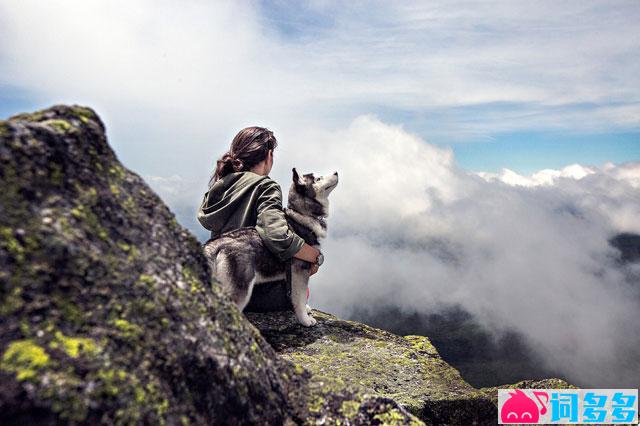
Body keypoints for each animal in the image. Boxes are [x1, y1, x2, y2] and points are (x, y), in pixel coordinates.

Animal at [204, 167, 340, 326]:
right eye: (318, 178)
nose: (336, 172)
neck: (301, 215)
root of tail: (217, 242)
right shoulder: (300, 270)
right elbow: (299, 297)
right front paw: (305, 319)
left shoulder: (291, 276)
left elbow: (297, 296)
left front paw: (306, 309)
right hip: (241, 288)